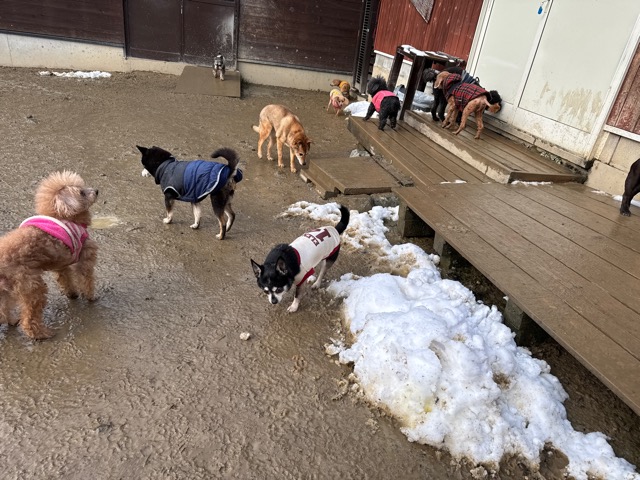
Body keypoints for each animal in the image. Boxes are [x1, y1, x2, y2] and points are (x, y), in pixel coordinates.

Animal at [0, 171, 98, 339]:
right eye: (81, 192)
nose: (97, 191)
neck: (66, 216)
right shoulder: (85, 257)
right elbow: (87, 280)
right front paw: (91, 297)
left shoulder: (62, 264)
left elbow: (66, 280)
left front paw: (72, 294)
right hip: (32, 287)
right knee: (29, 319)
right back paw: (41, 334)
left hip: (6, 289)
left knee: (3, 310)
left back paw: (12, 321)